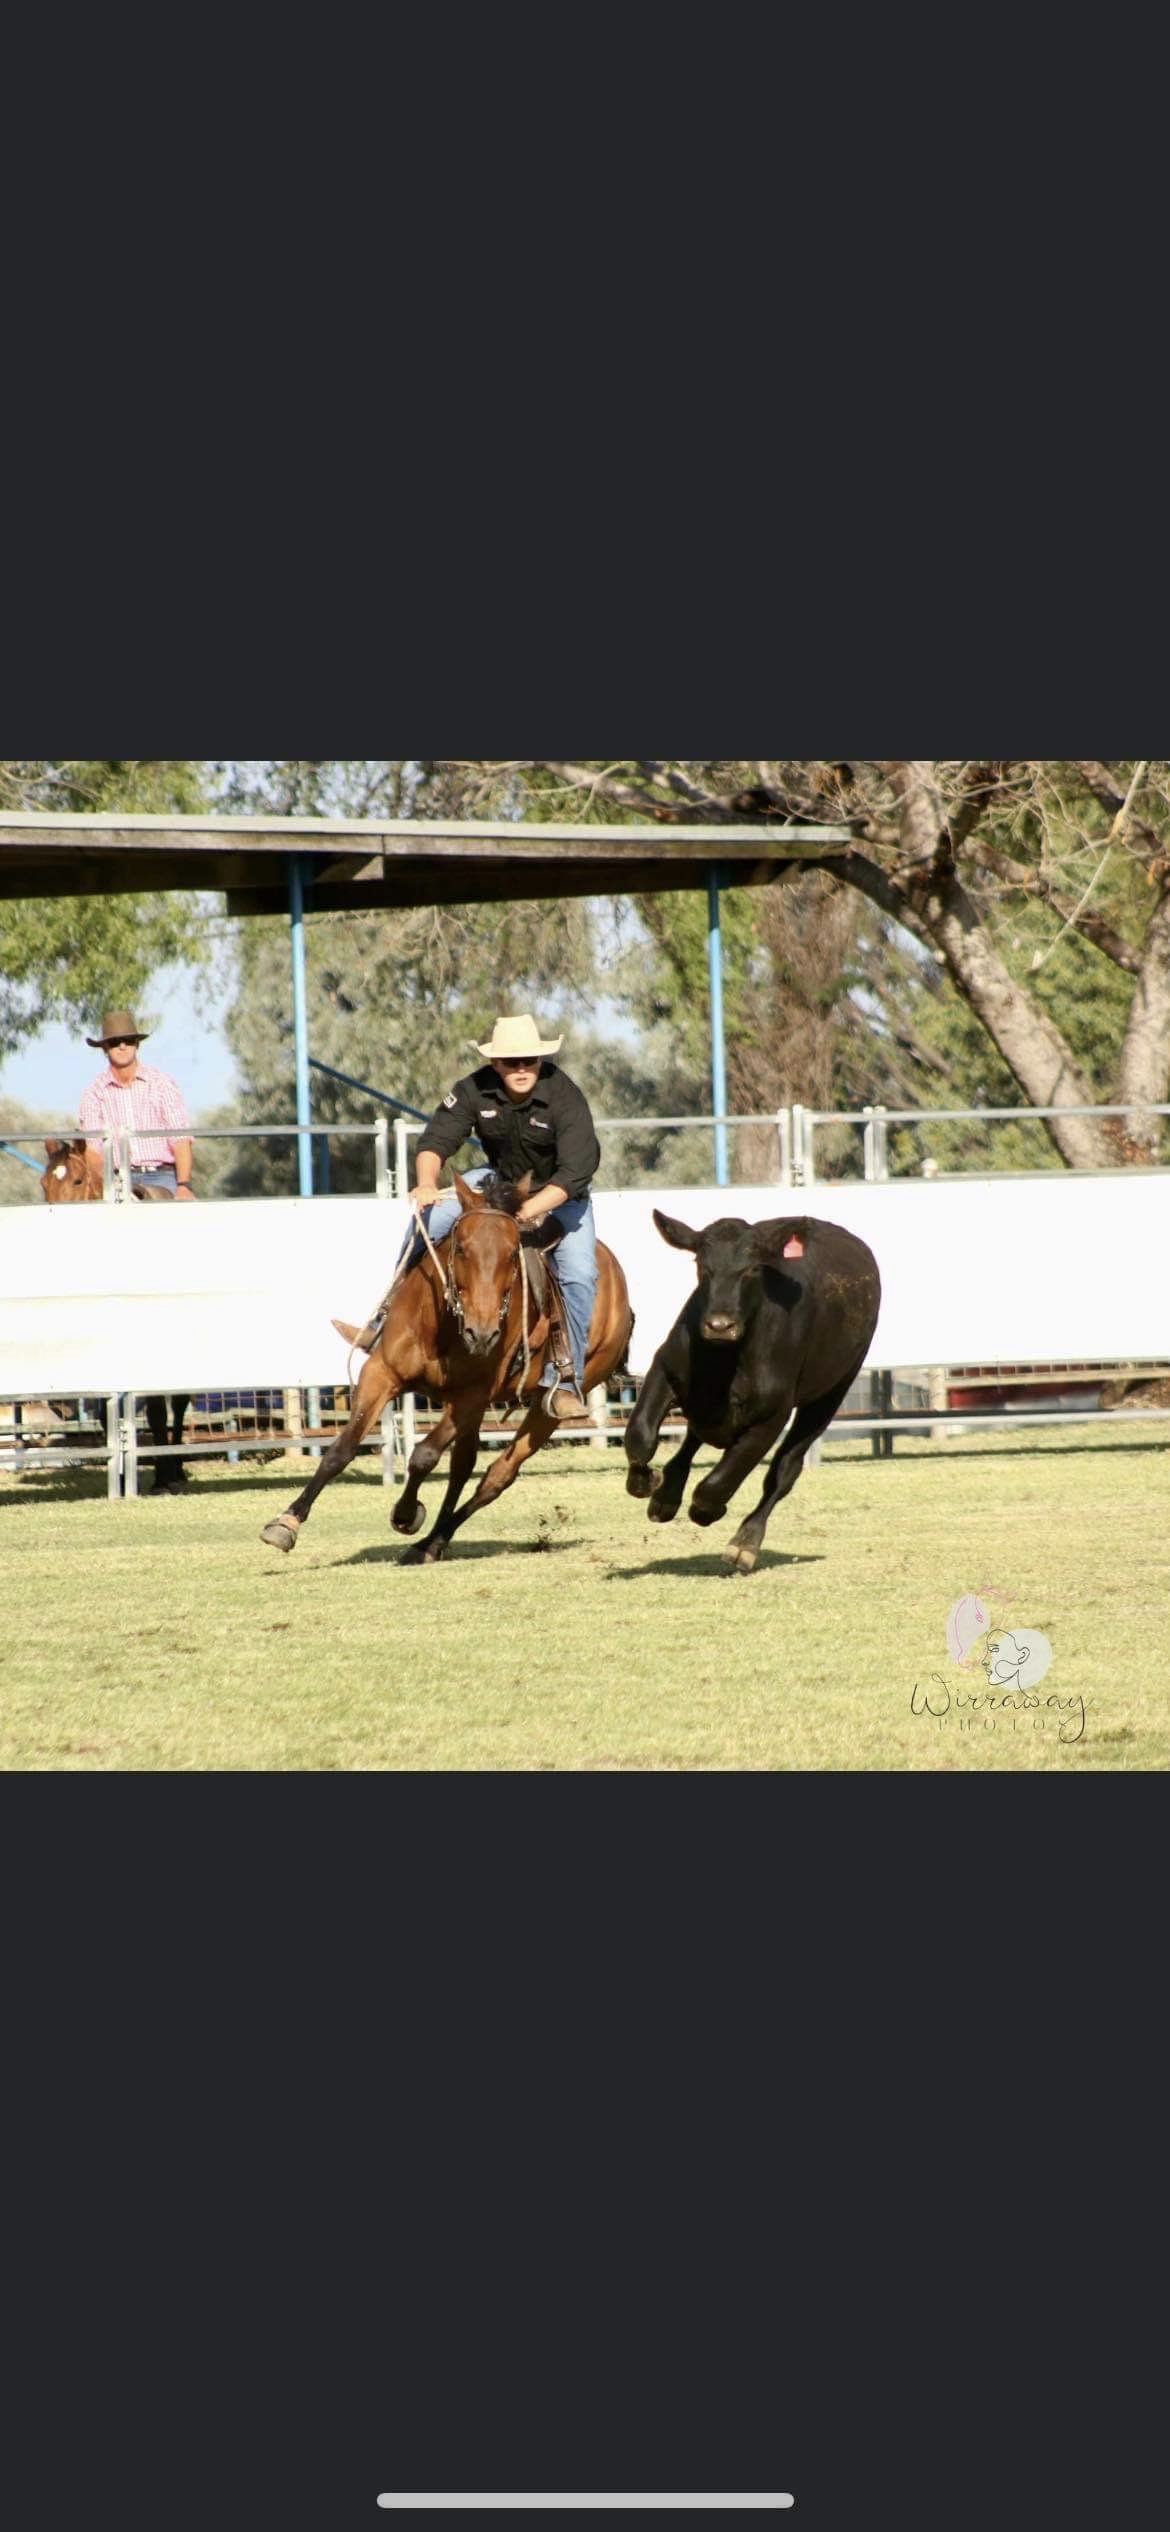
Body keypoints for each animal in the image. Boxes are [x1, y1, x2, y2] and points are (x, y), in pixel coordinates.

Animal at [40, 1138, 192, 1492]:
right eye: (44, 1183)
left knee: (178, 1402)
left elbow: (157, 1410)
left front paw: (164, 1477)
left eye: (78, 1180)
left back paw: (176, 1468)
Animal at [260, 1169, 634, 1563]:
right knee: (463, 1466)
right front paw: (285, 1523)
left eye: (511, 1254)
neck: (443, 1330)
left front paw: (406, 1514)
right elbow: (341, 1450)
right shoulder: (381, 1374)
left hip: (547, 1409)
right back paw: (432, 1542)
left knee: (497, 1475)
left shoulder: (471, 1397)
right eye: (461, 1247)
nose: (482, 1334)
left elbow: (424, 1456)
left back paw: (432, 1540)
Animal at [624, 1210, 881, 1576]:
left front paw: (708, 1511)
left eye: (752, 1268)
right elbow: (641, 1436)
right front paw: (646, 1482)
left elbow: (719, 1481)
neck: (726, 1359)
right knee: (693, 1437)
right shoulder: (666, 1369)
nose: (719, 1325)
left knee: (784, 1470)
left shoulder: (771, 1415)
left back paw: (745, 1543)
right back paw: (666, 1496)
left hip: (831, 1393)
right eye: (702, 1265)